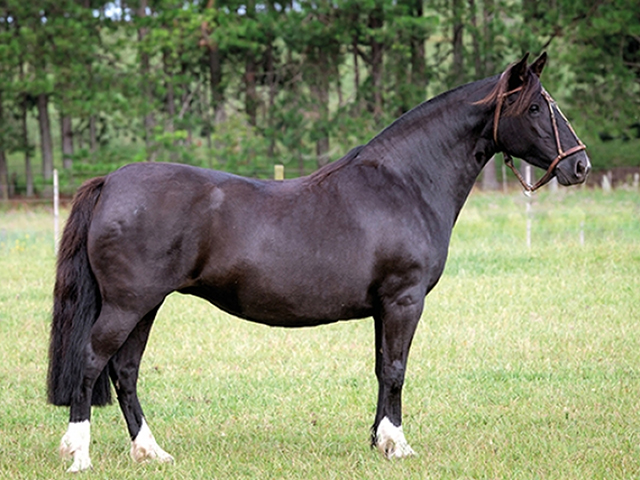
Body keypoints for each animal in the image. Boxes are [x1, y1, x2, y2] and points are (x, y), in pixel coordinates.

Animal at [48, 53, 592, 472]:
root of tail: (113, 181)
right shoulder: (404, 300)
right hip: (128, 304)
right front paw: (398, 445)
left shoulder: (384, 307)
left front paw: (378, 440)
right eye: (537, 107)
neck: (404, 184)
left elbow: (381, 369)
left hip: (147, 305)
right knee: (93, 362)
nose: (580, 164)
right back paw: (79, 454)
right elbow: (397, 369)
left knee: (126, 371)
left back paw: (151, 451)